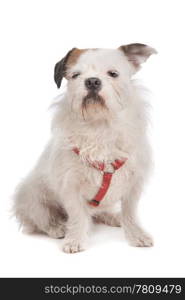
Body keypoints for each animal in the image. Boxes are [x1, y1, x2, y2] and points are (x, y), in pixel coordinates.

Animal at [13, 42, 157, 253]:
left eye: (113, 73)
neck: (100, 124)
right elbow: (77, 215)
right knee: (40, 218)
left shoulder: (133, 182)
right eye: (75, 75)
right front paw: (75, 239)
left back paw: (113, 217)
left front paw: (136, 234)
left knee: (99, 212)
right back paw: (57, 227)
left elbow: (130, 212)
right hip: (31, 195)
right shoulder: (70, 185)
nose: (92, 81)